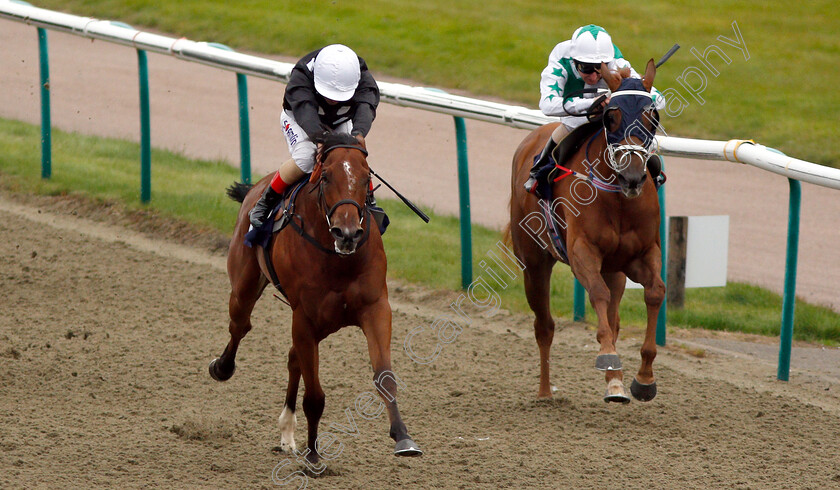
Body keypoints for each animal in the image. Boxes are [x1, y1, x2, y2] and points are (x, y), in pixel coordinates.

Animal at [210, 132, 420, 466]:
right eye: (326, 177)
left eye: (366, 178)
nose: (347, 233)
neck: (337, 258)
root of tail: (257, 186)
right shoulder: (305, 319)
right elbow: (315, 397)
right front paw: (313, 457)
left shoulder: (375, 308)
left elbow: (385, 377)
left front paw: (403, 437)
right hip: (244, 285)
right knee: (240, 325)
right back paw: (222, 367)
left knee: (292, 357)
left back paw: (287, 432)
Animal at [508, 60, 668, 402]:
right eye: (611, 116)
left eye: (652, 117)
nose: (633, 176)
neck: (618, 198)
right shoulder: (583, 251)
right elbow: (597, 294)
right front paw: (610, 360)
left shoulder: (642, 254)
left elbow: (655, 292)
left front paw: (643, 378)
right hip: (533, 262)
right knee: (544, 326)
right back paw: (545, 392)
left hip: (615, 270)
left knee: (614, 318)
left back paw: (614, 382)